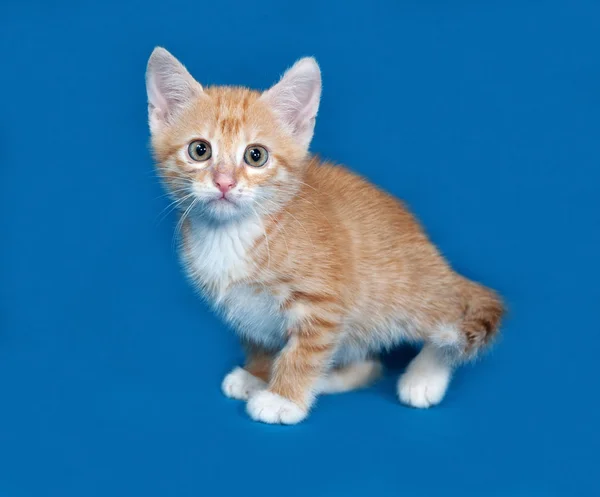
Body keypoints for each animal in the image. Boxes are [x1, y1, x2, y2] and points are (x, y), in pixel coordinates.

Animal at [146, 48, 506, 424]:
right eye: (200, 150)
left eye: (255, 155)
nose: (224, 183)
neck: (234, 233)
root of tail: (438, 262)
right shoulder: (246, 306)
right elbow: (260, 338)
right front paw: (258, 374)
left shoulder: (323, 305)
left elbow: (304, 352)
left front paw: (283, 398)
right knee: (369, 365)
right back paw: (328, 380)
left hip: (405, 295)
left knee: (451, 324)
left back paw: (424, 377)